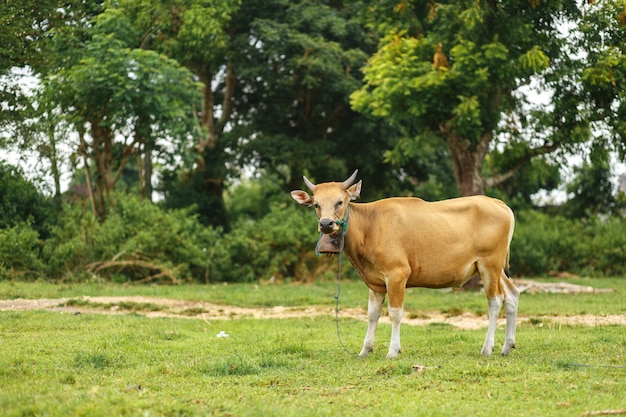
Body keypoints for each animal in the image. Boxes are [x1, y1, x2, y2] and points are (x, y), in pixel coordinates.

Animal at [292, 169, 516, 358]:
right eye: (316, 204)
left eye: (340, 202)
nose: (326, 224)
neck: (369, 225)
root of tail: (499, 204)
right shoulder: (376, 282)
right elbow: (372, 314)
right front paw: (365, 350)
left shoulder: (397, 275)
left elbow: (395, 313)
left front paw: (393, 351)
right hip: (495, 268)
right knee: (512, 295)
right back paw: (507, 346)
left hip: (489, 264)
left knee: (495, 301)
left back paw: (487, 348)